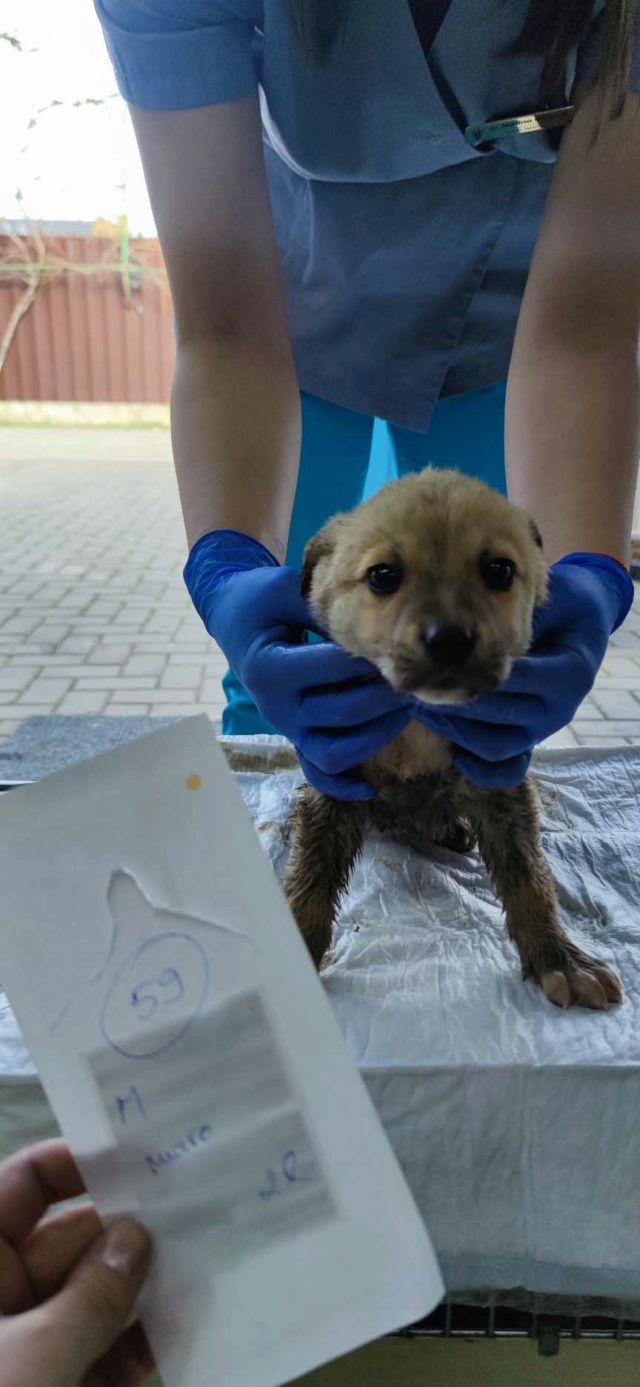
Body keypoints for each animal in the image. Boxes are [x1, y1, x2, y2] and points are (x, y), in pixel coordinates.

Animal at [281, 466, 621, 1009]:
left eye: (499, 571)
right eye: (383, 575)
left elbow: (530, 878)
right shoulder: (333, 780)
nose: (450, 640)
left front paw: (558, 957)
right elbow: (311, 880)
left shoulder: (500, 782)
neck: (420, 719)